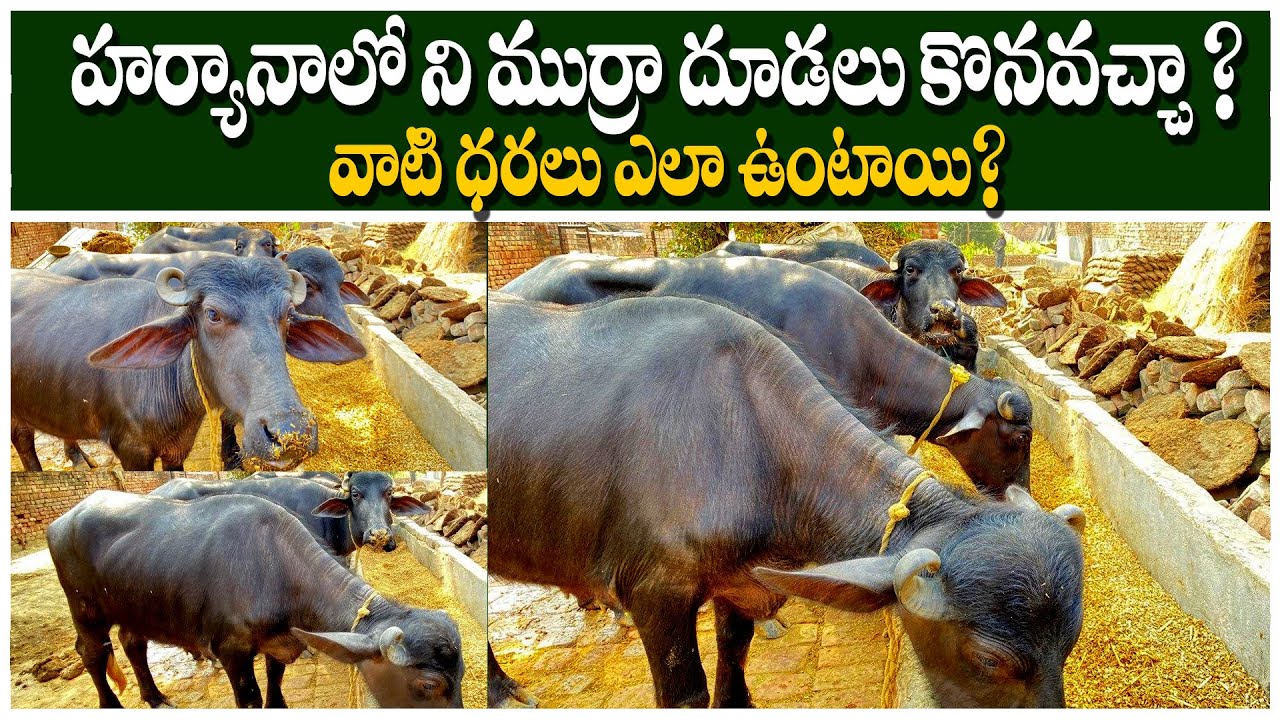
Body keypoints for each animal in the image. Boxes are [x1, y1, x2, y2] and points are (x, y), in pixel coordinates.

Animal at [11, 256, 366, 471]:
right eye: (212, 314)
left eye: (287, 315)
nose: (291, 435)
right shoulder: (131, 452)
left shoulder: (177, 450)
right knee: (24, 443)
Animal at [47, 491, 464, 708]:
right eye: (428, 686)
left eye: (460, 675)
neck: (276, 568)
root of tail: (65, 518)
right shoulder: (231, 651)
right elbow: (249, 696)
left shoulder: (277, 642)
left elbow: (275, 683)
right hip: (85, 610)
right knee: (92, 653)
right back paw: (112, 704)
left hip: (136, 606)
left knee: (132, 643)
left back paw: (155, 697)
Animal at [488, 292, 1085, 708]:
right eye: (990, 659)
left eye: (1070, 644)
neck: (752, 439)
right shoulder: (656, 592)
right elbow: (685, 693)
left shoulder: (735, 582)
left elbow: (735, 652)